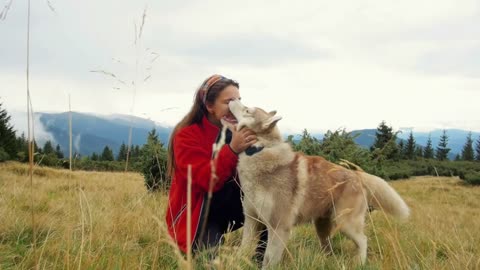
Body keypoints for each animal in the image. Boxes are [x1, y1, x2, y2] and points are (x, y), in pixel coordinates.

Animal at [225, 99, 408, 268]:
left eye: (247, 110)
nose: (232, 99)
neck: (260, 150)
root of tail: (356, 174)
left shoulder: (279, 227)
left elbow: (268, 260)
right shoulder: (251, 222)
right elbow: (243, 251)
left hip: (345, 224)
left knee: (363, 240)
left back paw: (360, 263)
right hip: (322, 227)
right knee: (329, 247)